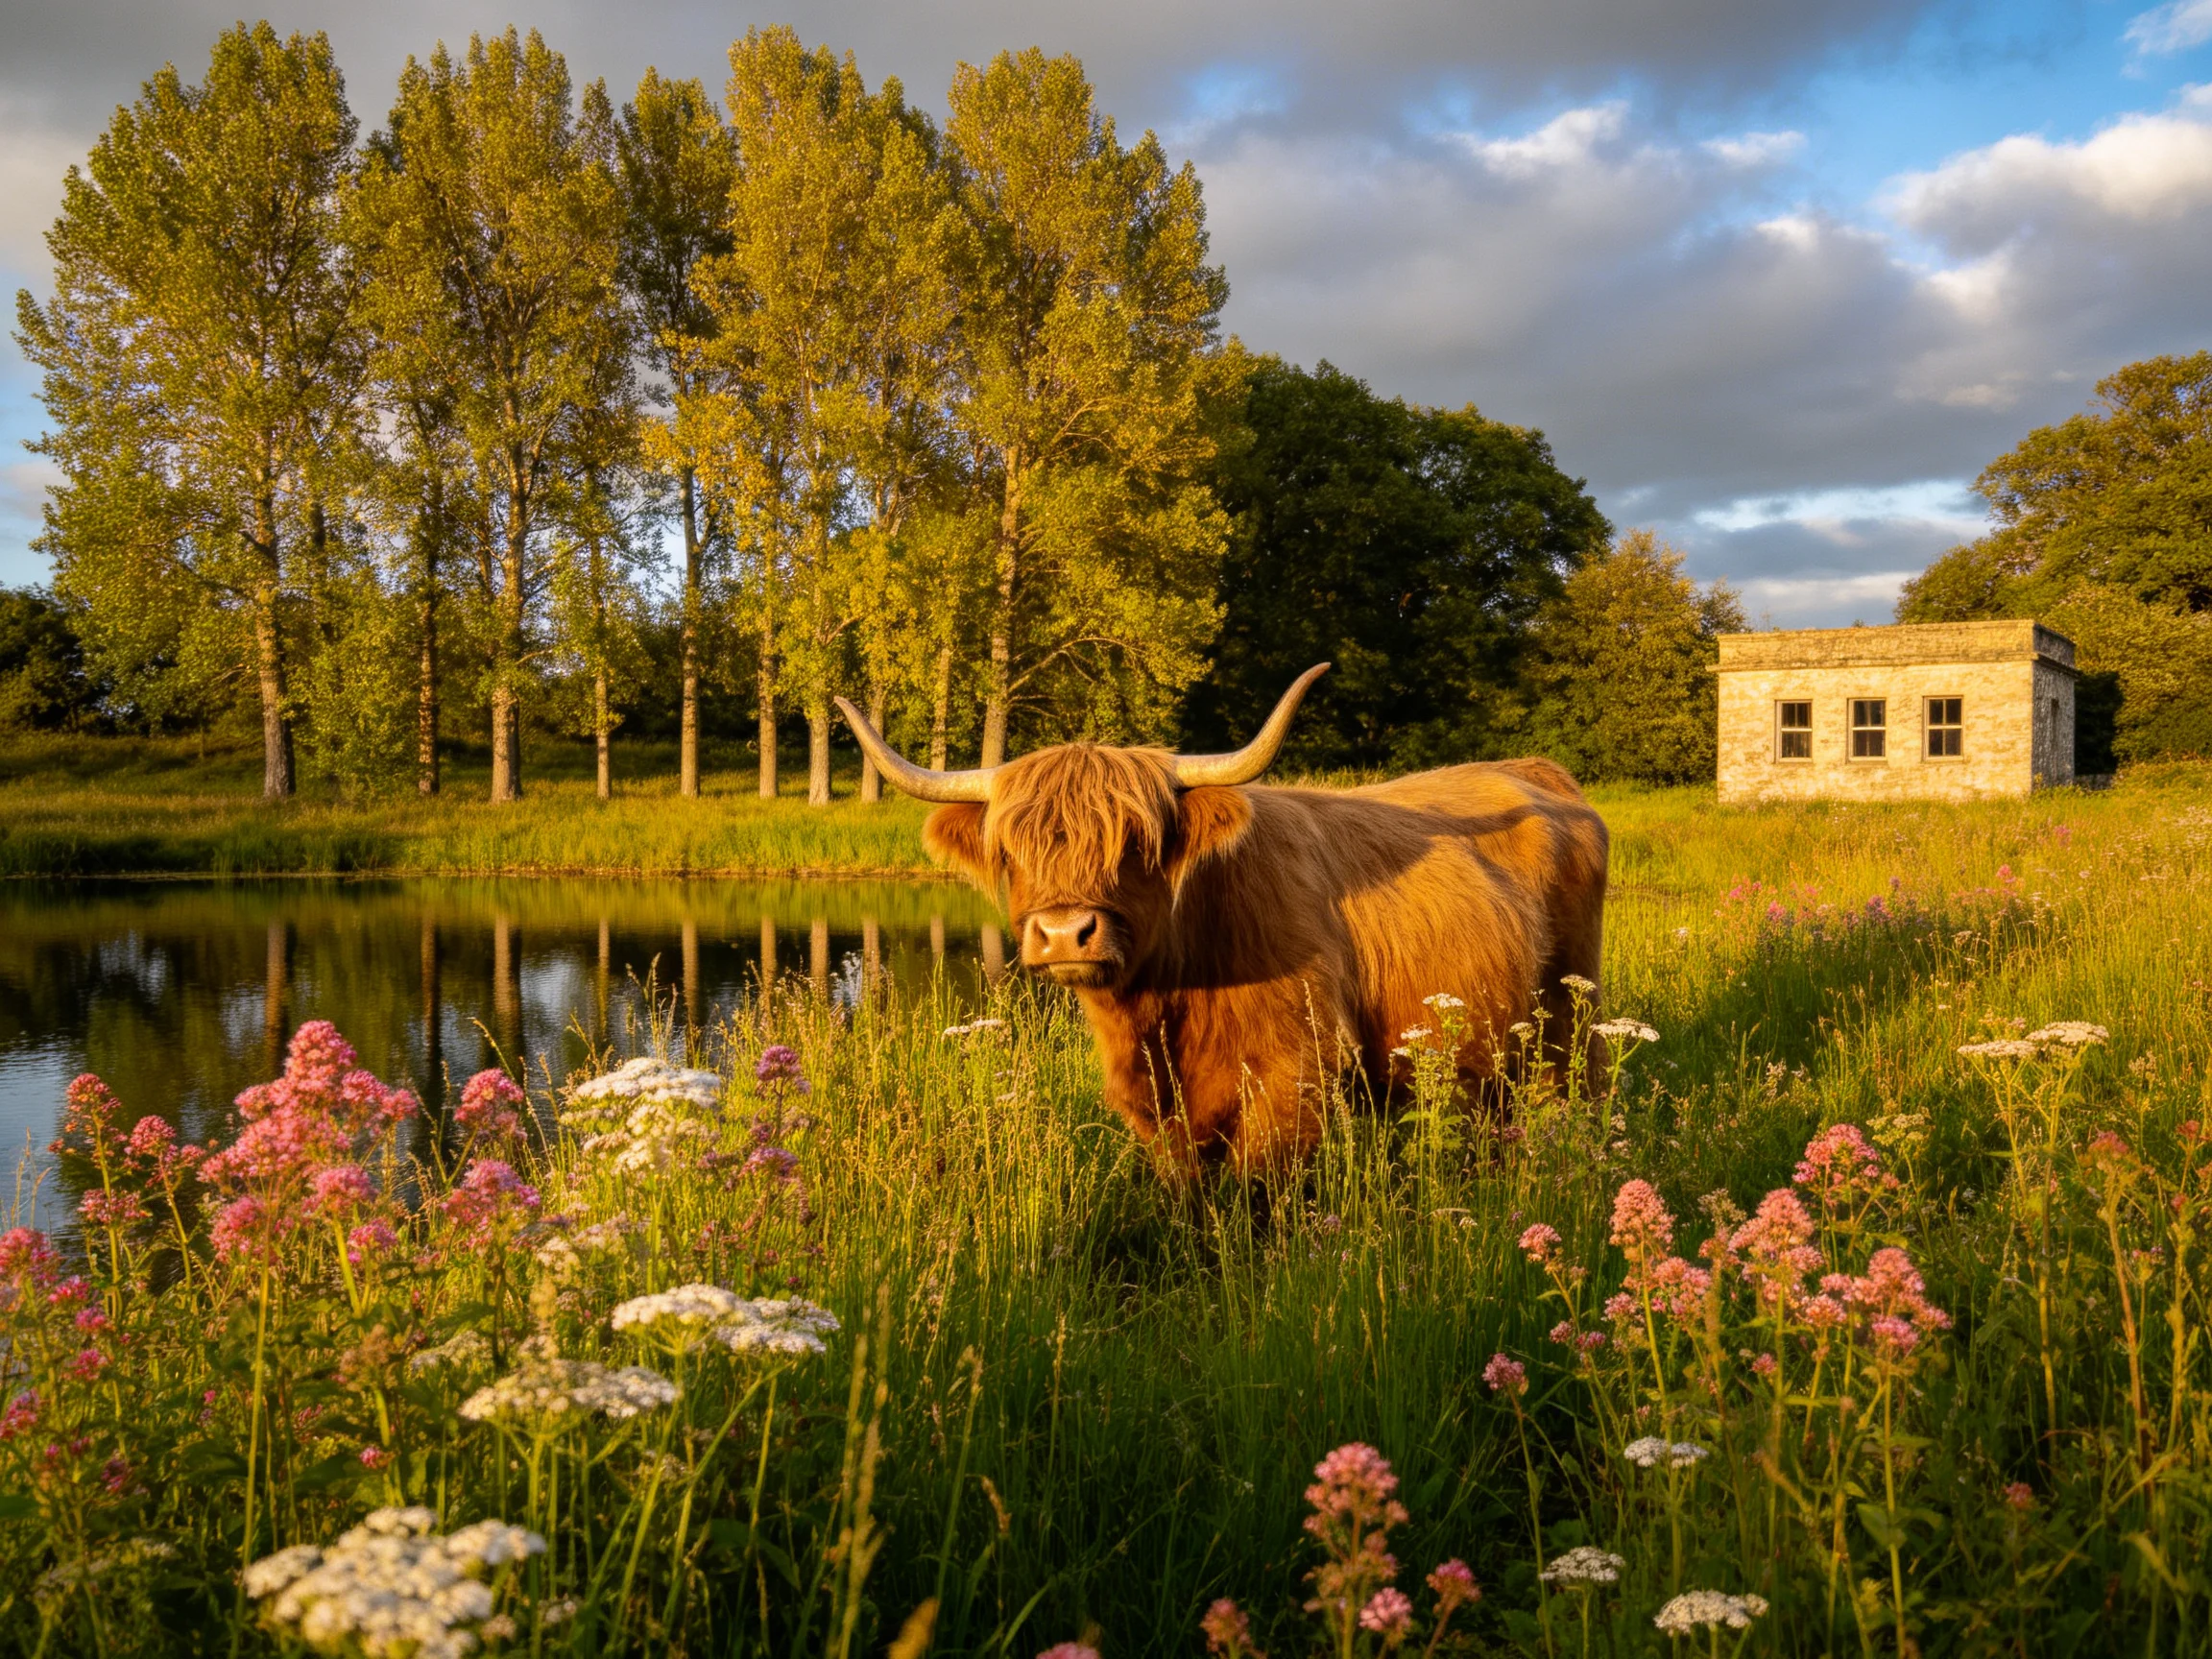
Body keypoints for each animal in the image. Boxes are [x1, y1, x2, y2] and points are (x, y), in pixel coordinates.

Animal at [836, 665, 1609, 1175]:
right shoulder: (1153, 1103)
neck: (1168, 997)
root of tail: (1538, 774)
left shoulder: (1293, 1077)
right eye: (1011, 849)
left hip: (1571, 1016)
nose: (1063, 934)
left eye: (1137, 842)